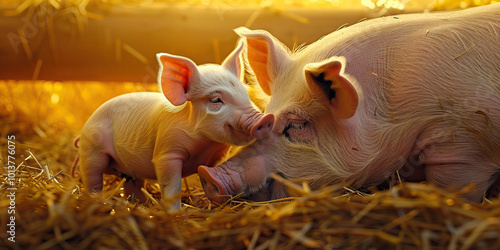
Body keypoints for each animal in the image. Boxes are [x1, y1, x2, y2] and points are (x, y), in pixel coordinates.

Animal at [72, 40, 272, 209]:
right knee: (93, 179)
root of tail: (84, 128)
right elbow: (172, 186)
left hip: (129, 170)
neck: (204, 144)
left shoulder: (217, 155)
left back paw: (141, 205)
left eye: (244, 93)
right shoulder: (167, 151)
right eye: (216, 99)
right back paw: (98, 201)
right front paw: (175, 213)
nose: (266, 118)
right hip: (92, 151)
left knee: (133, 185)